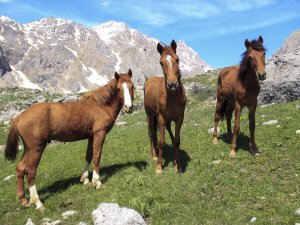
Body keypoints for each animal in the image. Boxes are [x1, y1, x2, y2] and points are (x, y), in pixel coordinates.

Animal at [4, 69, 134, 211]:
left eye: (132, 86)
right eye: (118, 88)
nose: (129, 107)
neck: (100, 105)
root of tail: (19, 117)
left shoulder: (91, 136)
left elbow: (88, 156)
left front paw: (85, 179)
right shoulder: (99, 134)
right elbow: (97, 156)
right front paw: (97, 182)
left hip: (28, 149)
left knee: (20, 168)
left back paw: (23, 199)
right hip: (36, 148)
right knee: (30, 171)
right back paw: (37, 202)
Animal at [144, 40, 186, 173]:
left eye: (177, 59)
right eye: (161, 62)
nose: (172, 84)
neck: (172, 97)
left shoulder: (179, 118)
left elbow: (177, 141)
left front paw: (177, 165)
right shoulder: (161, 118)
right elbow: (161, 142)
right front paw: (159, 166)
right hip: (150, 116)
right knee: (152, 134)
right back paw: (154, 155)